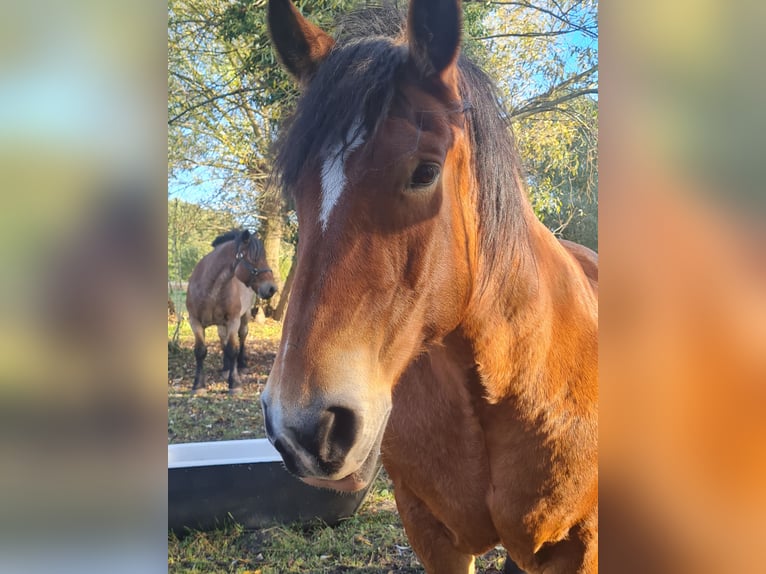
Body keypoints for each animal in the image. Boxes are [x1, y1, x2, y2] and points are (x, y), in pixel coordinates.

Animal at [187, 230, 280, 396]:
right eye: (253, 258)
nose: (272, 288)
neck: (210, 290)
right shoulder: (194, 322)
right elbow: (200, 351)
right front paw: (198, 385)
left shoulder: (233, 321)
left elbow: (233, 350)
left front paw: (234, 384)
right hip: (221, 324)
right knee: (222, 339)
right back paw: (225, 368)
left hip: (244, 317)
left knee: (242, 337)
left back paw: (241, 365)